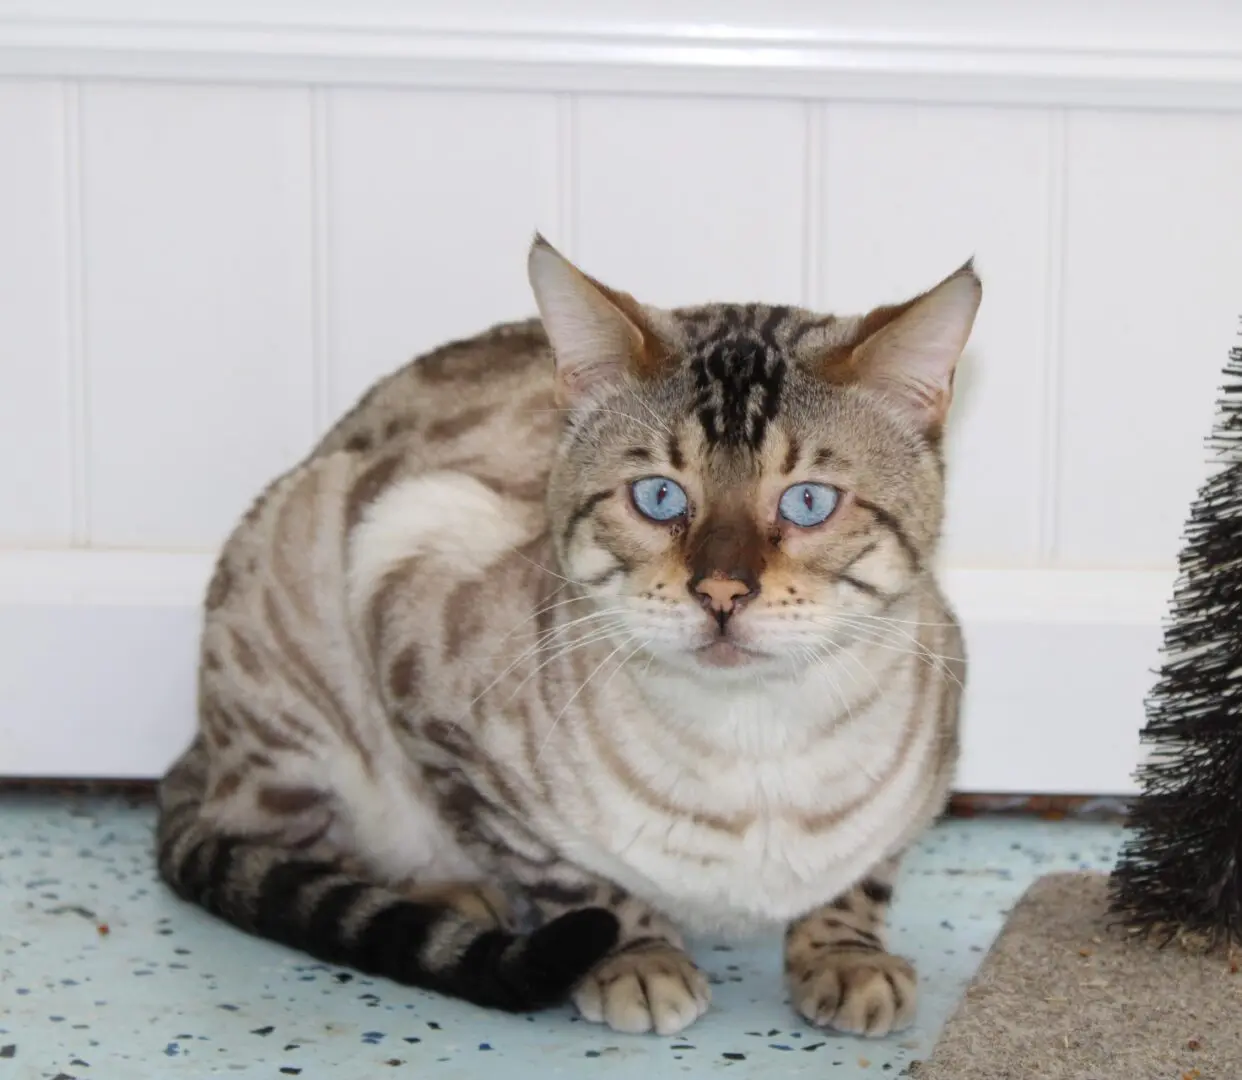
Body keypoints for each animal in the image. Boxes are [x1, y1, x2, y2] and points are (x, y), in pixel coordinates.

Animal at [157, 238, 978, 1037]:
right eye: (659, 497)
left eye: (808, 503)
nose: (721, 593)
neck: (758, 749)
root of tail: (196, 747)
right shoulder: (415, 630)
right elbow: (571, 880)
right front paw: (639, 960)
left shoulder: (932, 754)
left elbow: (861, 878)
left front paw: (846, 959)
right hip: (302, 596)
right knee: (284, 838)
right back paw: (457, 896)